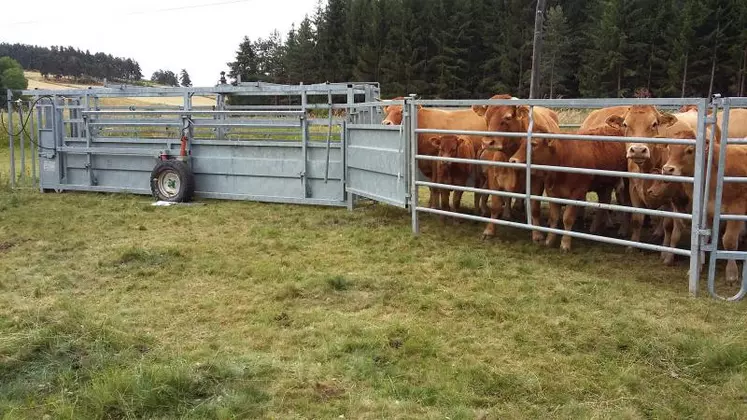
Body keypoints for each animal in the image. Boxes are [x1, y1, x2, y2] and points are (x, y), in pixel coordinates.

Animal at [474, 93, 560, 241]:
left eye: (507, 117)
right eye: (486, 118)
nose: (487, 142)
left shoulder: (536, 180)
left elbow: (534, 208)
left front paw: (537, 234)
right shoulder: (494, 176)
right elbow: (496, 205)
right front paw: (489, 231)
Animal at [664, 139, 747, 284]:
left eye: (690, 150)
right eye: (669, 149)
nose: (668, 169)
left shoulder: (737, 209)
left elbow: (729, 240)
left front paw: (731, 274)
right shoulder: (706, 211)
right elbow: (703, 240)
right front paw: (697, 268)